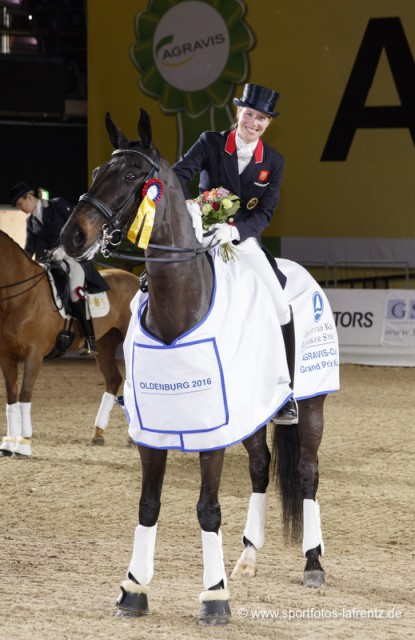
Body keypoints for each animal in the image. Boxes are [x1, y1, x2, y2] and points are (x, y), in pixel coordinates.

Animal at [0, 230, 141, 456]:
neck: (21, 296)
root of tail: (136, 279)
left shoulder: (34, 355)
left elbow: (25, 394)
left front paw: (23, 443)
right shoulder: (6, 356)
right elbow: (12, 397)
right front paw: (8, 444)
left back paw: (132, 437)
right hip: (105, 345)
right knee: (113, 380)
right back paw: (98, 434)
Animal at [60, 111, 340, 624]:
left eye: (132, 176)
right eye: (96, 172)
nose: (73, 237)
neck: (179, 308)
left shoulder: (212, 433)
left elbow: (208, 509)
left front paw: (214, 597)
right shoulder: (152, 435)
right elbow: (148, 505)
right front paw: (133, 589)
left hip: (312, 404)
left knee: (308, 473)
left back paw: (313, 562)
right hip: (252, 415)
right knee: (261, 468)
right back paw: (248, 556)